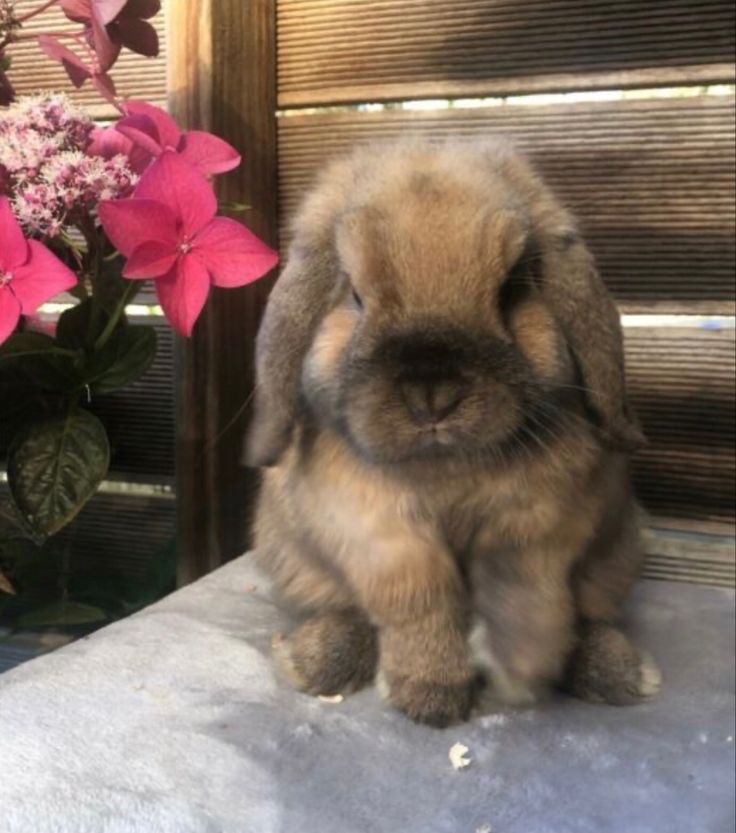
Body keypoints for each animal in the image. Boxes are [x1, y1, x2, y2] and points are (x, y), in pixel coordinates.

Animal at [243, 140, 660, 724]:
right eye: (354, 295)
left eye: (511, 289)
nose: (433, 394)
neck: (444, 470)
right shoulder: (377, 534)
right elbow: (419, 595)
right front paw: (430, 697)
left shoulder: (545, 520)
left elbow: (524, 584)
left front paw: (520, 664)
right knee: (346, 611)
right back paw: (315, 659)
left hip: (616, 559)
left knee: (587, 616)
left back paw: (618, 672)